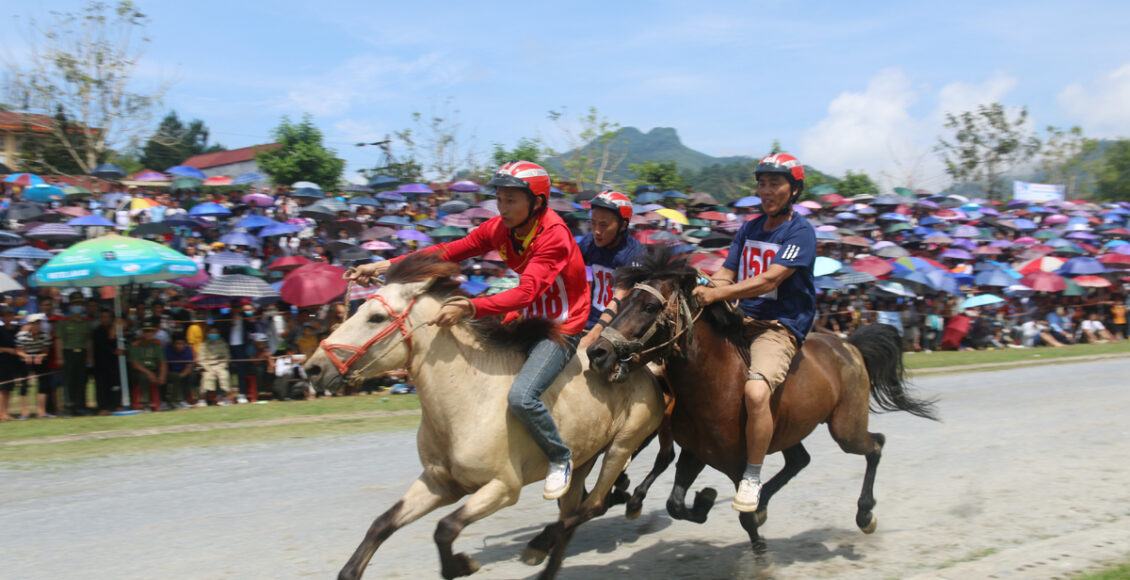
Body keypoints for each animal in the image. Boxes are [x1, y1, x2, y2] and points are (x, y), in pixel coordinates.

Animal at [305, 254, 664, 578]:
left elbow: (445, 527)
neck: (467, 401)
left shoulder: (502, 488)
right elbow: (382, 524)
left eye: (376, 317)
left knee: (594, 505)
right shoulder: (438, 484)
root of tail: (644, 367)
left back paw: (542, 543)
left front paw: (463, 565)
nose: (313, 368)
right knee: (571, 514)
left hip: (621, 446)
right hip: (582, 462)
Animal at [583, 246, 935, 549]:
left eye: (650, 307)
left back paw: (864, 514)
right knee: (800, 461)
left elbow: (742, 516)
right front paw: (705, 500)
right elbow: (676, 504)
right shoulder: (696, 453)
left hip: (845, 428)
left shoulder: (739, 462)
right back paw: (764, 502)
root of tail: (849, 344)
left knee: (875, 445)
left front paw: (756, 546)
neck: (714, 384)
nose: (597, 352)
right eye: (623, 301)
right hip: (794, 428)